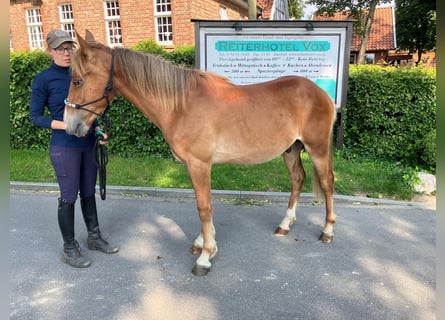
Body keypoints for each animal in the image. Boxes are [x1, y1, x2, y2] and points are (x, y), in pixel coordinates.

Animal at [63, 30, 336, 276]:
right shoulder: (193, 166)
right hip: (291, 150)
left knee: (327, 182)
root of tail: (321, 92)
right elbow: (203, 203)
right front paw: (203, 242)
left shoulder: (200, 164)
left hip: (317, 148)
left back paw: (327, 231)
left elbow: (204, 207)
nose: (69, 125)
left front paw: (205, 257)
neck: (181, 105)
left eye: (77, 80)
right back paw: (285, 225)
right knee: (298, 179)